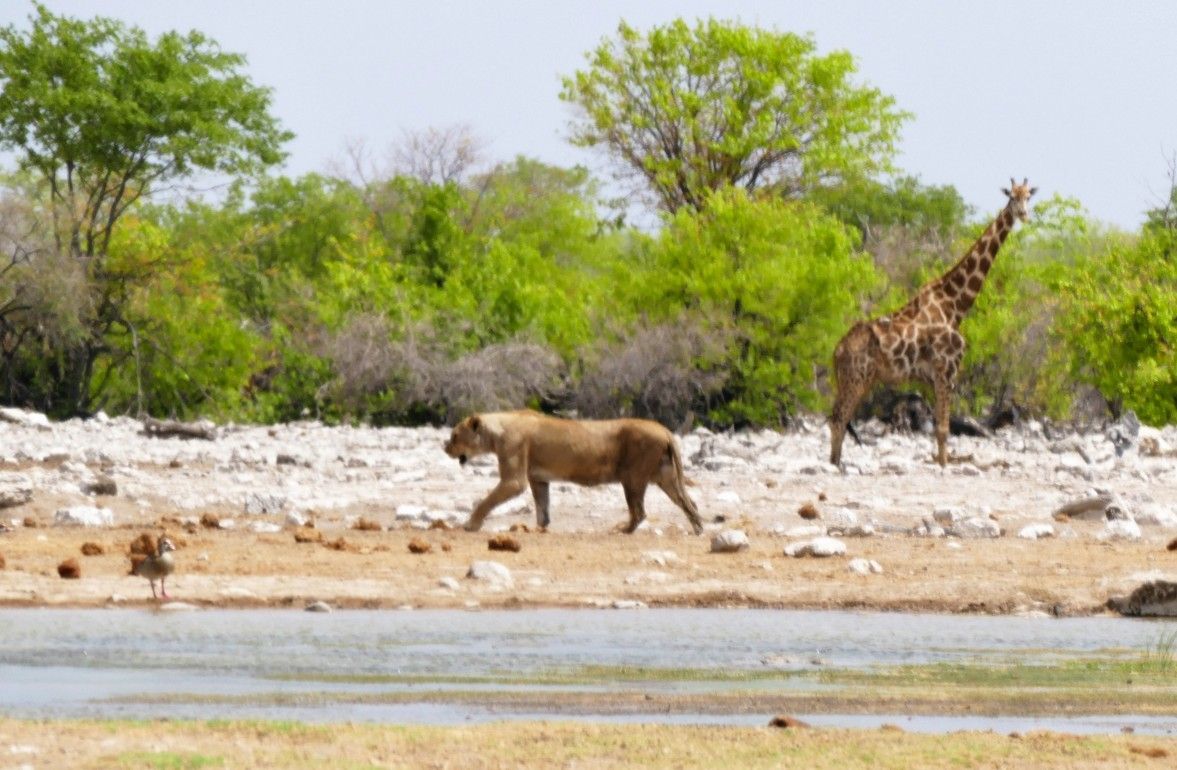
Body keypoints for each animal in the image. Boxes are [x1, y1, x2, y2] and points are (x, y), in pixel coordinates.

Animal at [829, 178, 1037, 467]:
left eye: (1029, 196)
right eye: (1013, 197)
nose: (1024, 215)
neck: (955, 306)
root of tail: (837, 351)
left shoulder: (936, 376)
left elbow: (939, 428)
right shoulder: (946, 371)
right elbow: (943, 429)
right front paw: (944, 465)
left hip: (857, 379)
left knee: (839, 418)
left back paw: (835, 463)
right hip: (856, 377)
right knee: (839, 419)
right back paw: (835, 466)